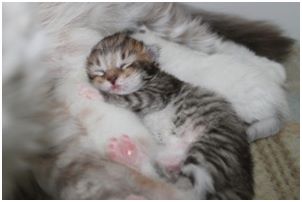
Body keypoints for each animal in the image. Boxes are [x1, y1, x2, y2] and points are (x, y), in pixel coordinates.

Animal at [86, 32, 254, 199]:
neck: (152, 78)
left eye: (124, 65)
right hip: (173, 154)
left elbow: (129, 98)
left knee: (192, 191)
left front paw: (96, 93)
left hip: (212, 146)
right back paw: (128, 154)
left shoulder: (157, 93)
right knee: (166, 177)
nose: (112, 79)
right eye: (100, 72)